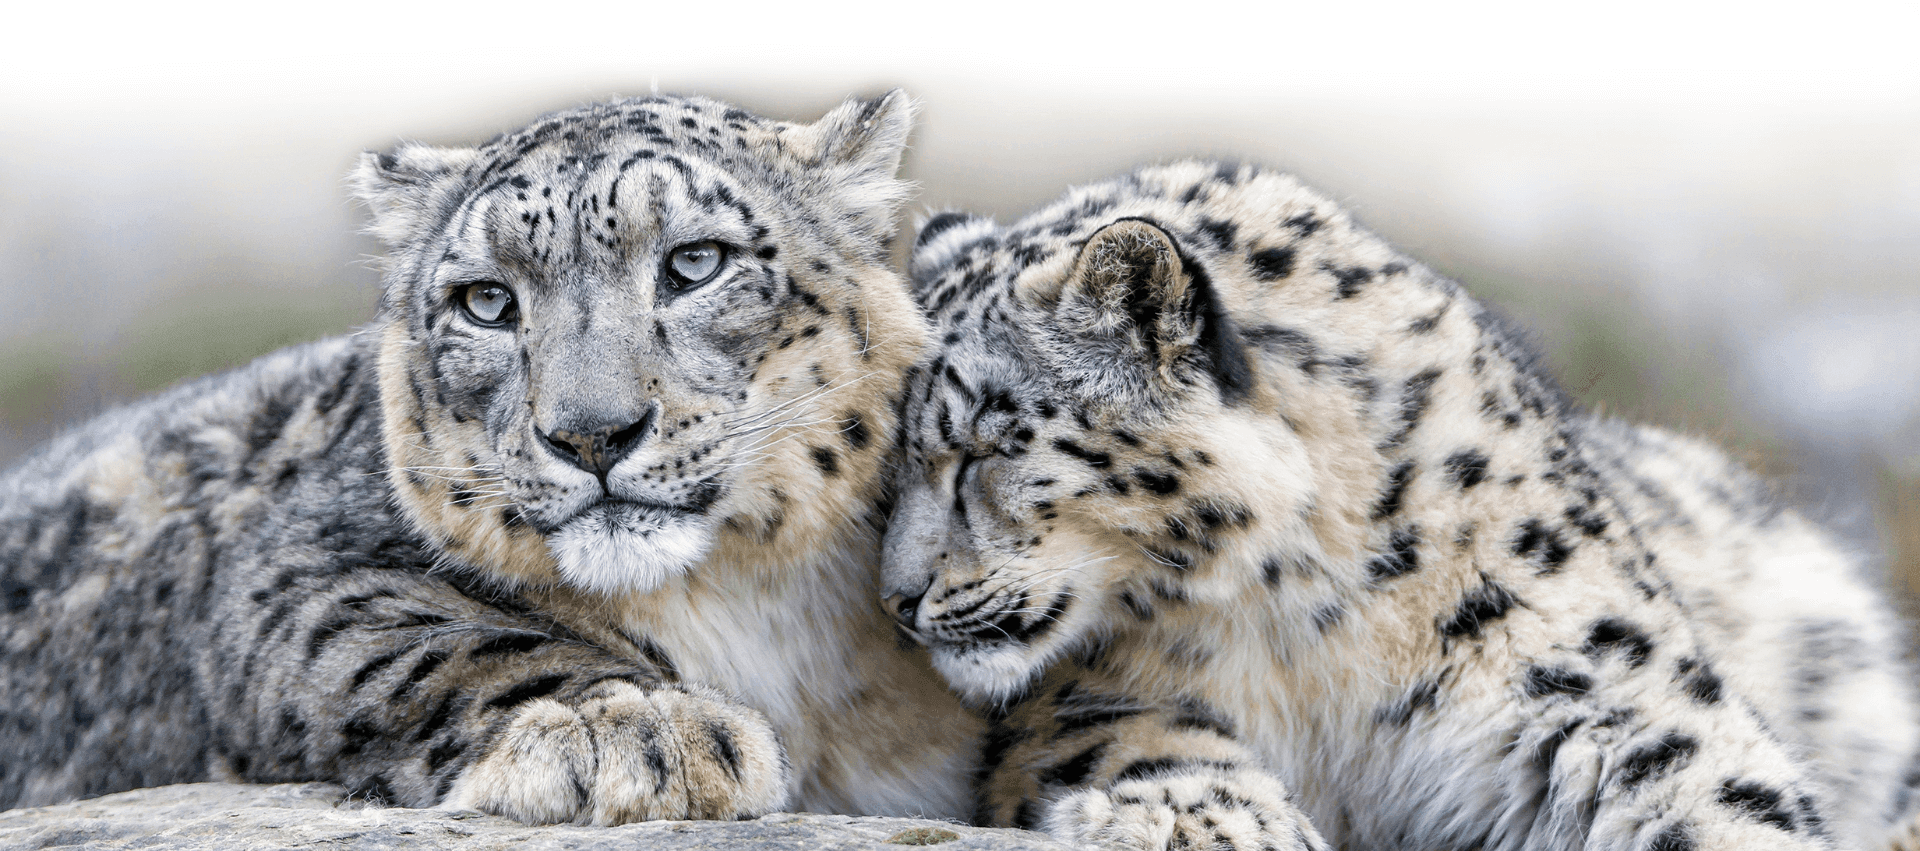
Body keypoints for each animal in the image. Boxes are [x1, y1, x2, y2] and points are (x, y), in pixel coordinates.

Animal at [0, 91, 984, 825]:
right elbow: (444, 642)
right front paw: (636, 731)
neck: (757, 614)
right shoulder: (294, 574)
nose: (592, 433)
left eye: (696, 261)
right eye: (486, 301)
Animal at [880, 159, 1920, 851]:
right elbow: (1125, 732)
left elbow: (1711, 785)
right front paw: (1206, 815)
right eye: (890, 466)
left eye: (981, 447)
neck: (1306, 619)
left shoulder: (1597, 680)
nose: (897, 600)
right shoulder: (1075, 693)